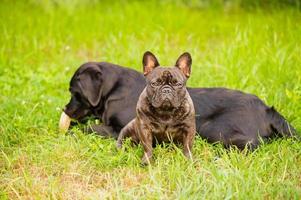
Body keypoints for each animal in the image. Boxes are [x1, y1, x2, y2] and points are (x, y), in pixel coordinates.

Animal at [59, 58, 296, 149]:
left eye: (74, 92)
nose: (65, 109)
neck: (113, 90)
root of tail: (267, 109)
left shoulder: (123, 128)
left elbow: (91, 128)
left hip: (213, 128)